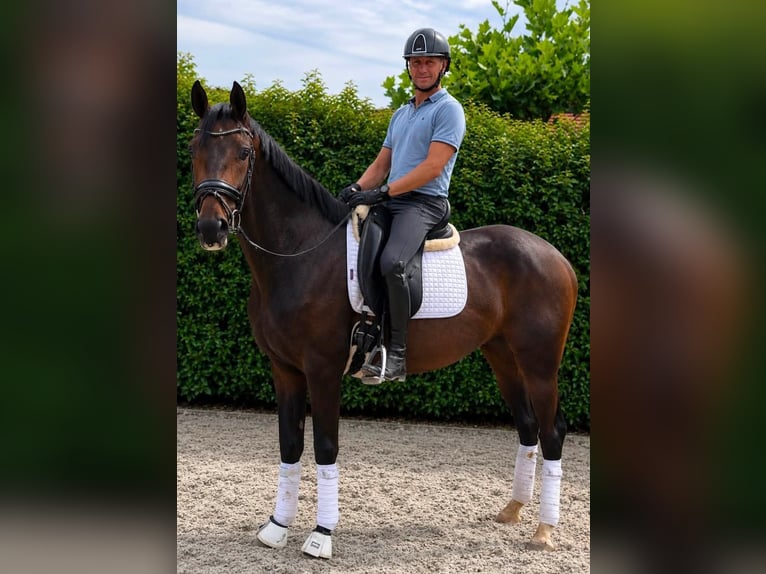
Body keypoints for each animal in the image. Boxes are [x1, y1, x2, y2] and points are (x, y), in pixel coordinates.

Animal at [187, 80, 578, 558]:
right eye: (194, 149)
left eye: (243, 153)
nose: (212, 229)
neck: (301, 254)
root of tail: (556, 257)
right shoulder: (285, 370)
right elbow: (289, 445)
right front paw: (277, 526)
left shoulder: (322, 369)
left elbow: (325, 446)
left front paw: (321, 535)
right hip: (502, 356)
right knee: (527, 426)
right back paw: (513, 510)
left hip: (539, 363)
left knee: (552, 431)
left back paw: (544, 530)